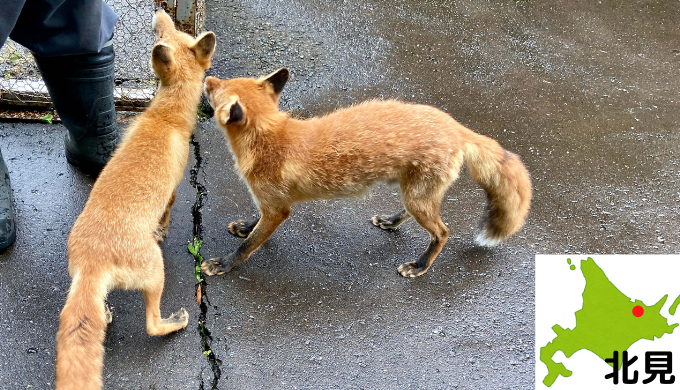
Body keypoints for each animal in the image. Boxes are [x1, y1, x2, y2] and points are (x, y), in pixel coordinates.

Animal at [55, 9, 215, 390]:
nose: (159, 16)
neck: (165, 116)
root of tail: (92, 260)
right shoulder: (173, 191)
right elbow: (167, 215)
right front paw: (163, 230)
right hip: (155, 272)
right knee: (151, 325)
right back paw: (175, 322)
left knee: (98, 310)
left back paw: (107, 313)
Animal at [201, 68, 532, 278]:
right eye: (226, 82)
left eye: (216, 90)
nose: (207, 76)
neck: (270, 139)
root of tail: (455, 125)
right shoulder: (270, 203)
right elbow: (254, 222)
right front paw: (245, 226)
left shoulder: (278, 210)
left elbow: (247, 247)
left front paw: (224, 264)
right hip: (414, 194)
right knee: (413, 214)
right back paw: (391, 222)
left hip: (419, 198)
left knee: (443, 233)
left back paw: (420, 266)